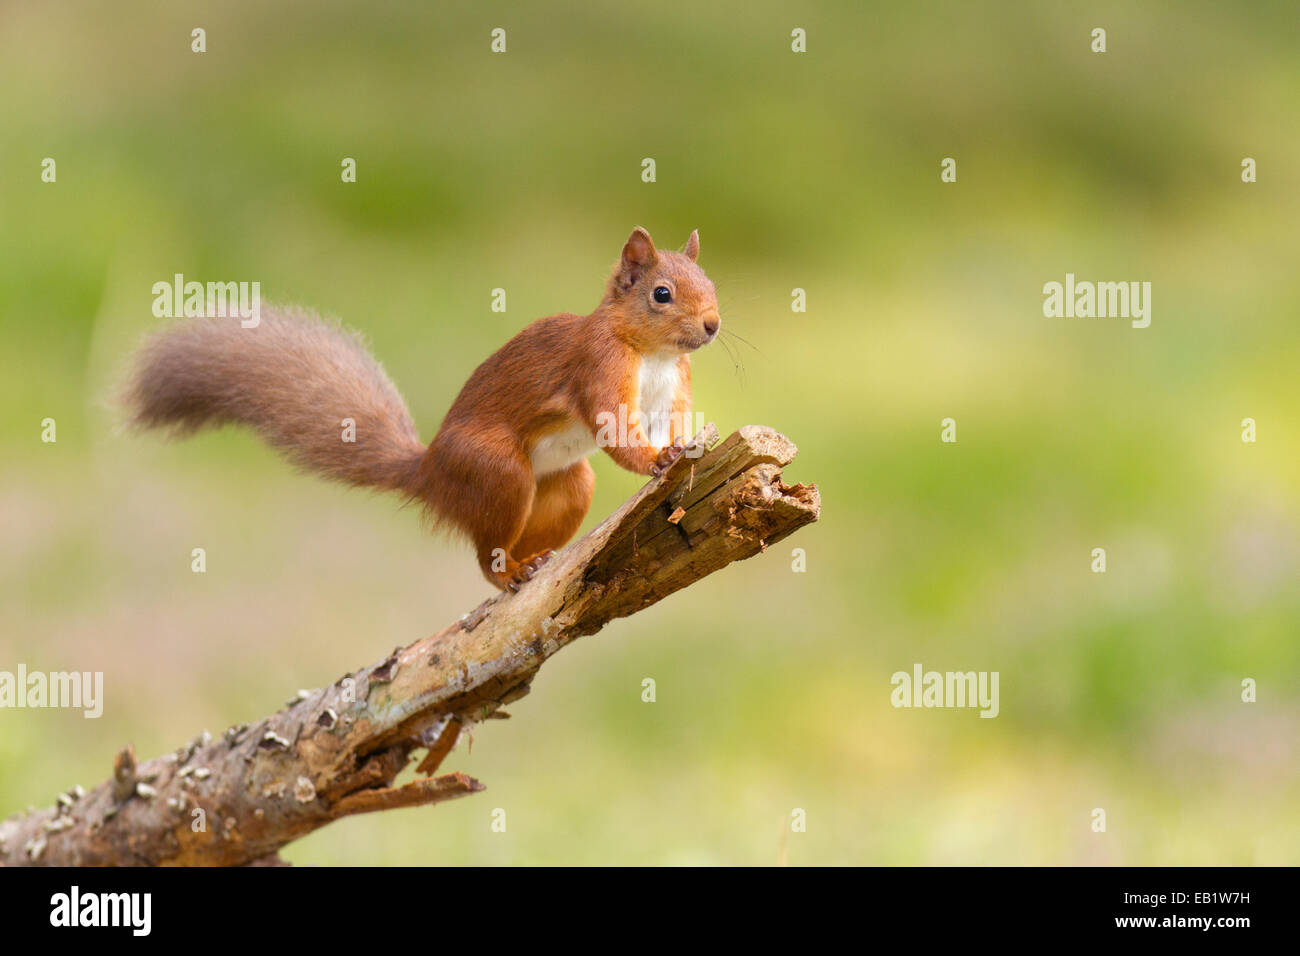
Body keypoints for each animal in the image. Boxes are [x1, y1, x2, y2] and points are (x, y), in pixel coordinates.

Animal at [124, 230, 722, 590]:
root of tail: (431, 471)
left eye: (712, 283)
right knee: (486, 555)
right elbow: (612, 427)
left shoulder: (675, 389)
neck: (653, 354)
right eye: (662, 294)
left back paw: (541, 562)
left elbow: (672, 420)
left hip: (568, 484)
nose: (714, 325)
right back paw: (511, 573)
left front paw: (686, 445)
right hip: (497, 471)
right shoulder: (598, 369)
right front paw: (657, 462)